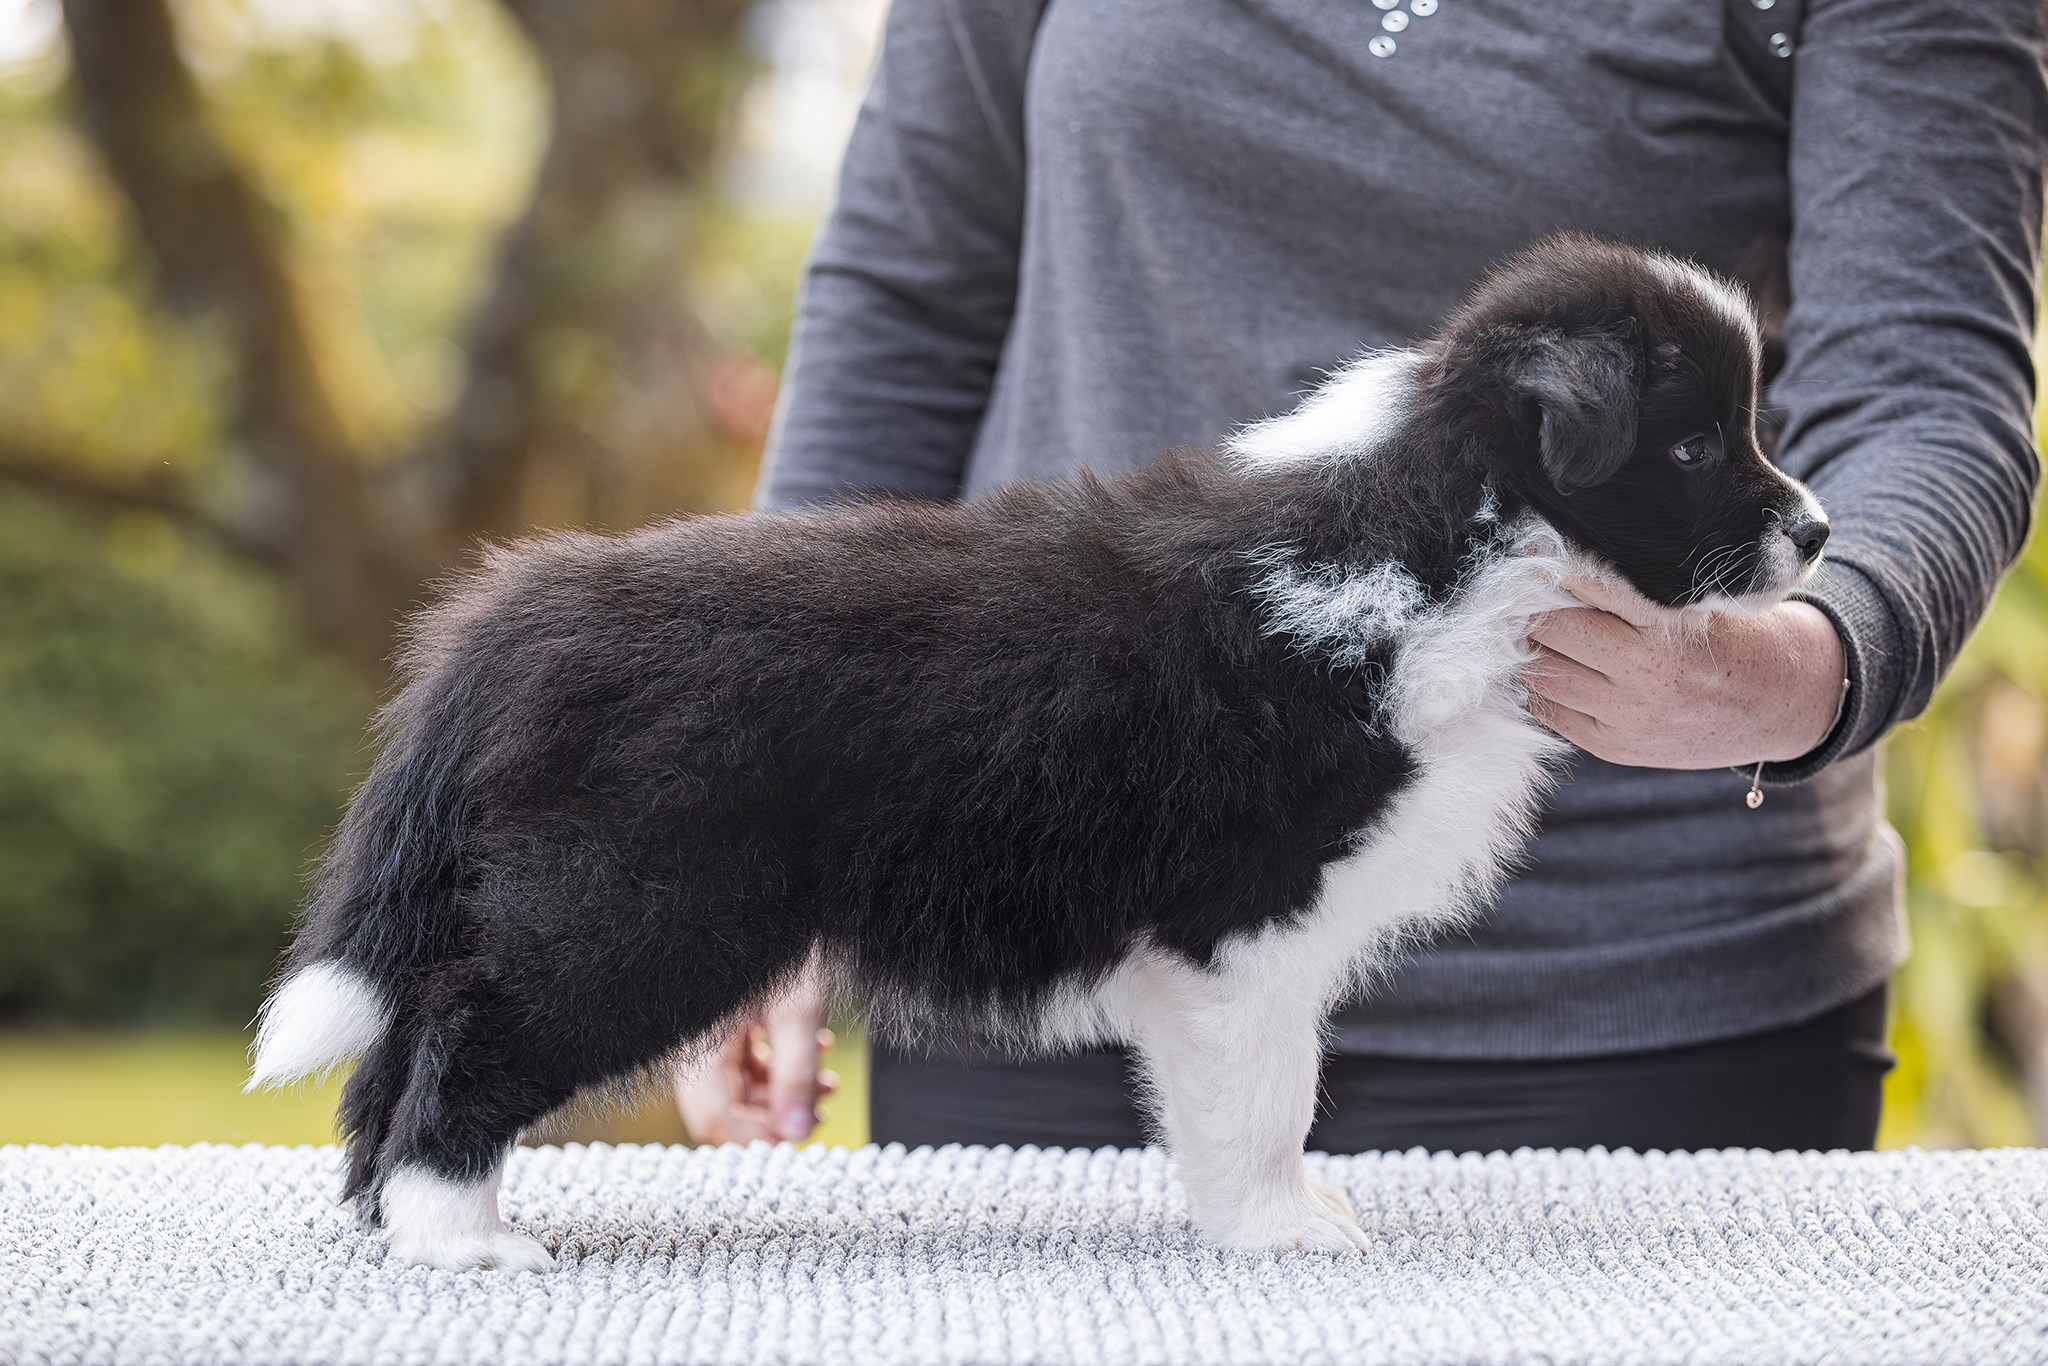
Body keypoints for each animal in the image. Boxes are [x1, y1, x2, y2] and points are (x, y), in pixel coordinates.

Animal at [247, 232, 1835, 1269]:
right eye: (1694, 444)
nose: (1819, 536)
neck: (1442, 528)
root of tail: (513, 618)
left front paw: (1274, 1218)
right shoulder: (1246, 922)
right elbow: (1270, 1096)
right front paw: (1279, 1230)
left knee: (404, 1034)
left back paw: (388, 1216)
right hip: (641, 905)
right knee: (473, 1027)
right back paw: (460, 1238)